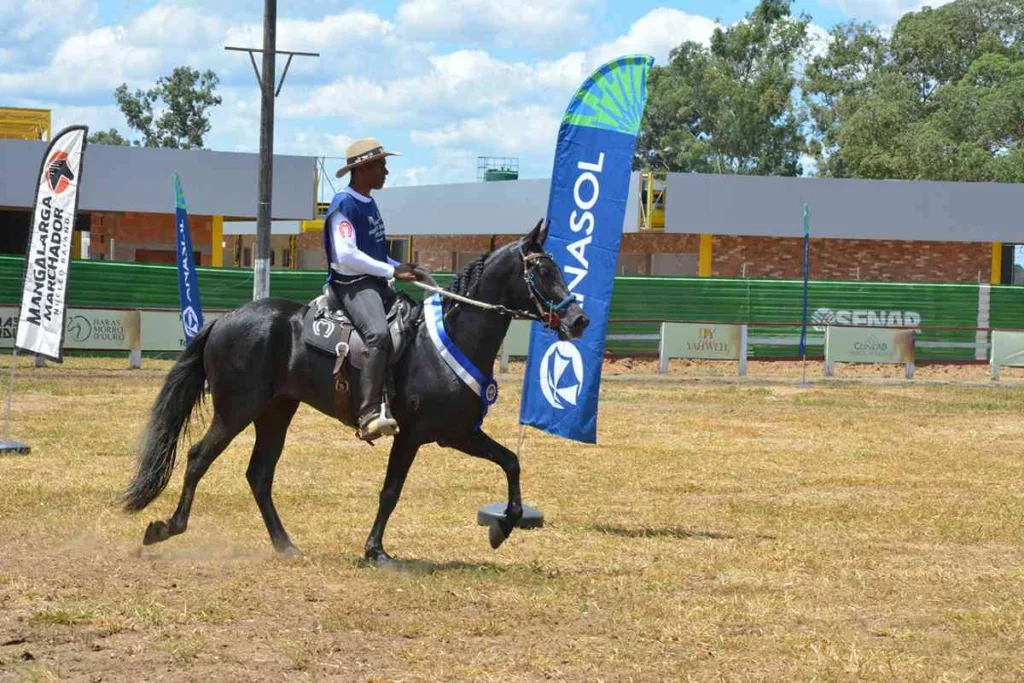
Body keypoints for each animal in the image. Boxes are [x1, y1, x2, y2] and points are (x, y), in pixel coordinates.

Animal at [123, 222, 589, 565]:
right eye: (543, 272)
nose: (579, 320)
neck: (451, 338)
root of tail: (224, 320)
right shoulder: (413, 435)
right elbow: (391, 491)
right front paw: (375, 551)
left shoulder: (458, 432)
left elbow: (511, 462)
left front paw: (503, 526)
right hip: (236, 411)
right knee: (198, 458)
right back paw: (167, 528)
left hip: (276, 412)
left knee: (259, 474)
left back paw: (285, 544)